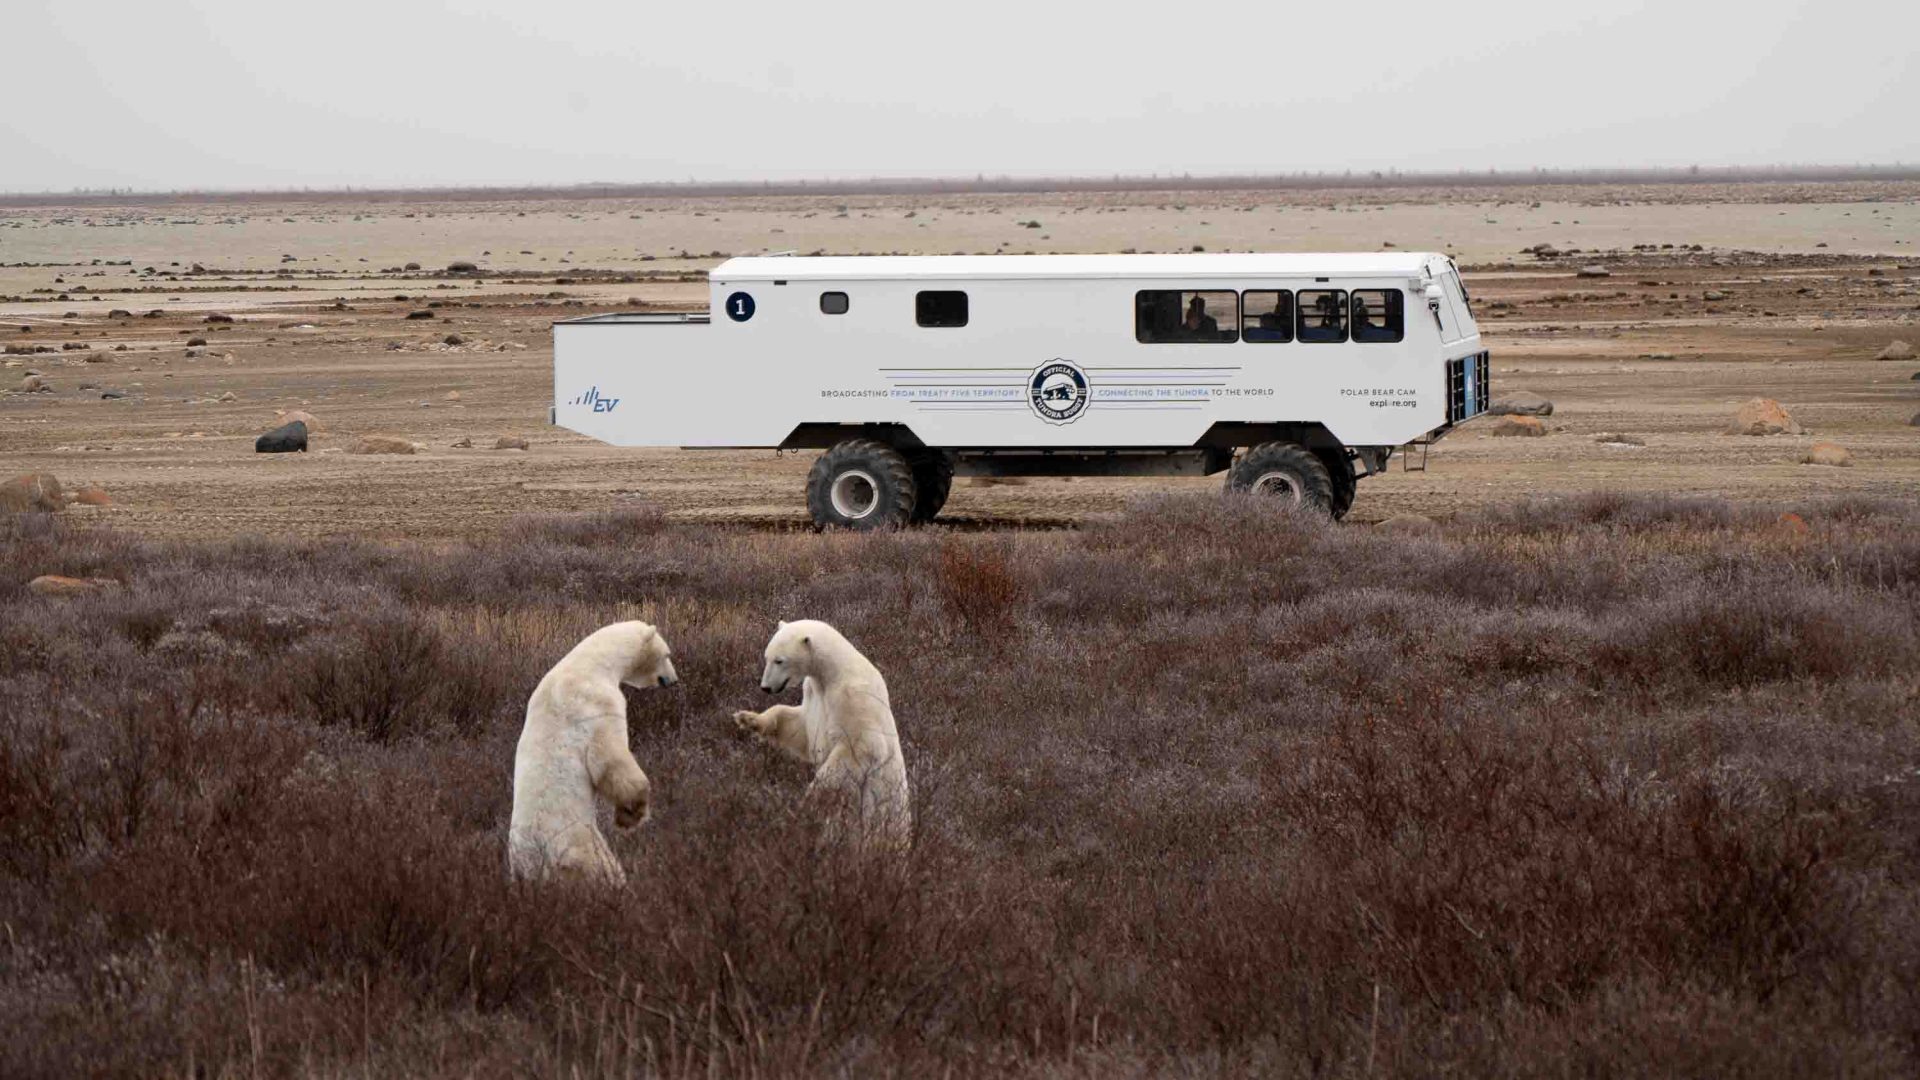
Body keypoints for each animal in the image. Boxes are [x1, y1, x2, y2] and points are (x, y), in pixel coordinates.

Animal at [509, 620, 678, 884]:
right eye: (667, 654)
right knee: (599, 865)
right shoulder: (598, 704)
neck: (589, 664)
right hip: (574, 839)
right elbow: (610, 759)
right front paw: (631, 814)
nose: (673, 680)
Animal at [731, 619, 911, 850]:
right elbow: (799, 728)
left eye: (780, 660)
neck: (833, 673)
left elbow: (863, 745)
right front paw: (748, 718)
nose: (766, 687)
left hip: (885, 817)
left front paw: (811, 794)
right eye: (766, 656)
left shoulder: (854, 698)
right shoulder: (813, 694)